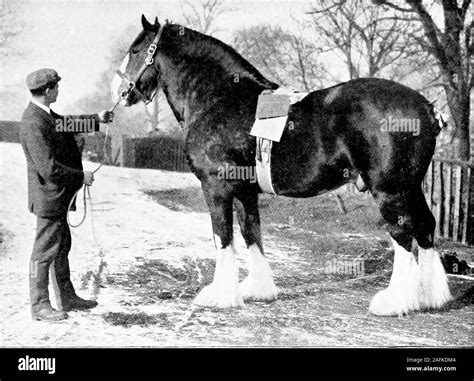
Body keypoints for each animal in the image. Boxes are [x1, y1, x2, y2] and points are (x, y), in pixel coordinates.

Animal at [110, 15, 452, 314]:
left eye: (136, 50)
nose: (119, 91)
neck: (220, 98)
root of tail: (427, 107)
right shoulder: (246, 192)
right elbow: (252, 235)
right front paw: (257, 290)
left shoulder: (216, 188)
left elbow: (223, 238)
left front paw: (219, 295)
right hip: (411, 187)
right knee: (425, 227)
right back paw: (432, 298)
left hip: (389, 190)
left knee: (404, 235)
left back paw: (393, 303)